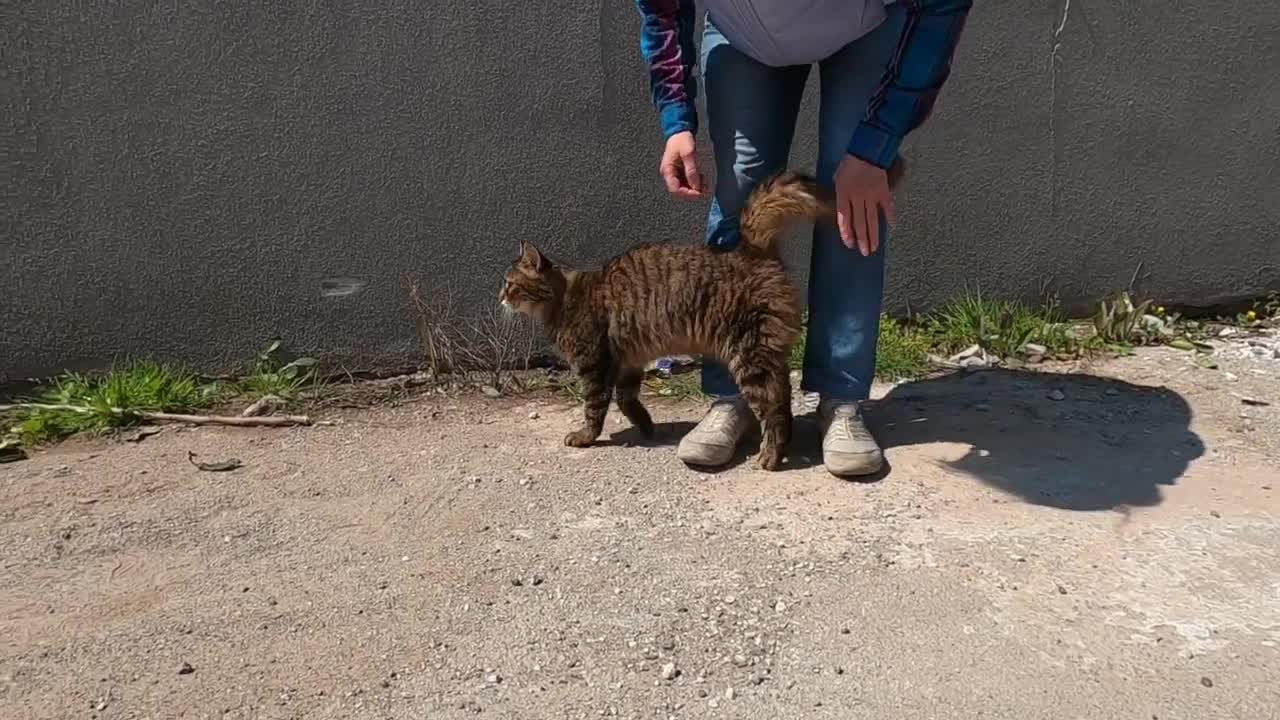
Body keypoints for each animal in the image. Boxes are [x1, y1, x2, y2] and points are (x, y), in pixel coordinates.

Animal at [499, 157, 911, 468]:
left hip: (748, 355)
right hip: (763, 352)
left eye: (509, 283)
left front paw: (586, 436)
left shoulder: (595, 365)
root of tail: (752, 250)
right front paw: (646, 426)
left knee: (775, 404)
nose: (499, 296)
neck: (563, 297)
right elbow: (628, 399)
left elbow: (594, 407)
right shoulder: (628, 362)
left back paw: (771, 455)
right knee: (784, 397)